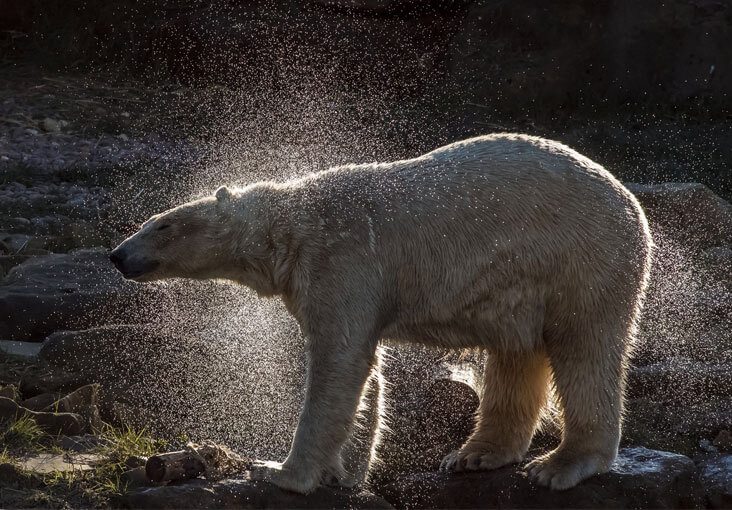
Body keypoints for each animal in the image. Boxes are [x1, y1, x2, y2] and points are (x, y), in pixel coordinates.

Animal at [110, 134, 652, 494]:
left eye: (161, 225)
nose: (117, 255)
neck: (293, 228)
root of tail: (634, 207)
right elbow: (366, 371)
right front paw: (346, 473)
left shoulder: (342, 259)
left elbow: (339, 363)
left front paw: (281, 472)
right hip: (528, 286)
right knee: (517, 353)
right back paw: (474, 455)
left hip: (582, 260)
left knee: (585, 351)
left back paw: (560, 464)